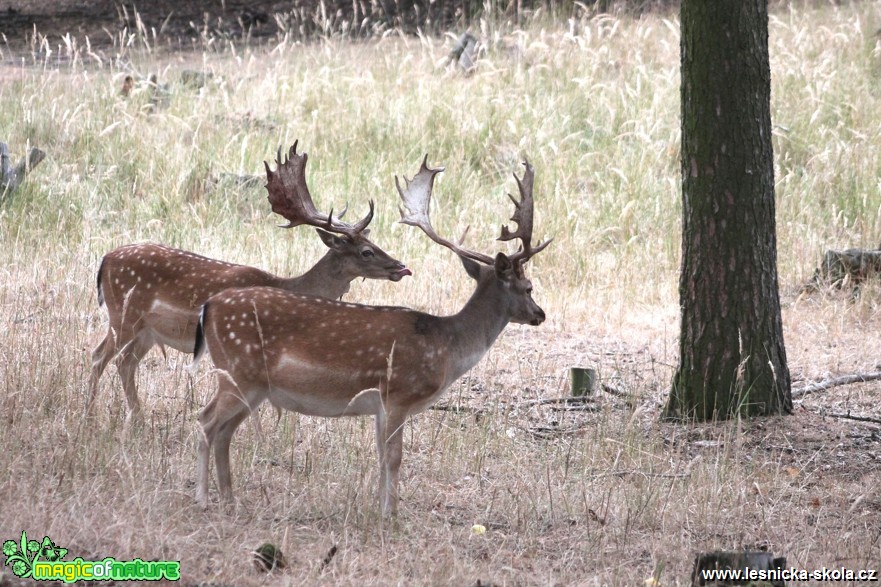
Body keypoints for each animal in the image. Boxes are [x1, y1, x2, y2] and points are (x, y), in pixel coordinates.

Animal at [86, 142, 410, 418]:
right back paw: (90, 415)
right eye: (367, 251)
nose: (401, 267)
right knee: (99, 356)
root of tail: (105, 260)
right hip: (123, 315)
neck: (287, 284)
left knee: (125, 363)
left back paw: (136, 418)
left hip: (147, 330)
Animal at [192, 155, 552, 516]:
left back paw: (229, 499)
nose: (540, 314)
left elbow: (380, 457)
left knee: (224, 430)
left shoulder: (380, 407)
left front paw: (381, 509)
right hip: (239, 370)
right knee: (206, 421)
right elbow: (394, 458)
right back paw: (204, 497)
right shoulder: (398, 394)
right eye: (529, 287)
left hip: (254, 386)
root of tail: (209, 307)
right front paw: (391, 515)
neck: (447, 347)